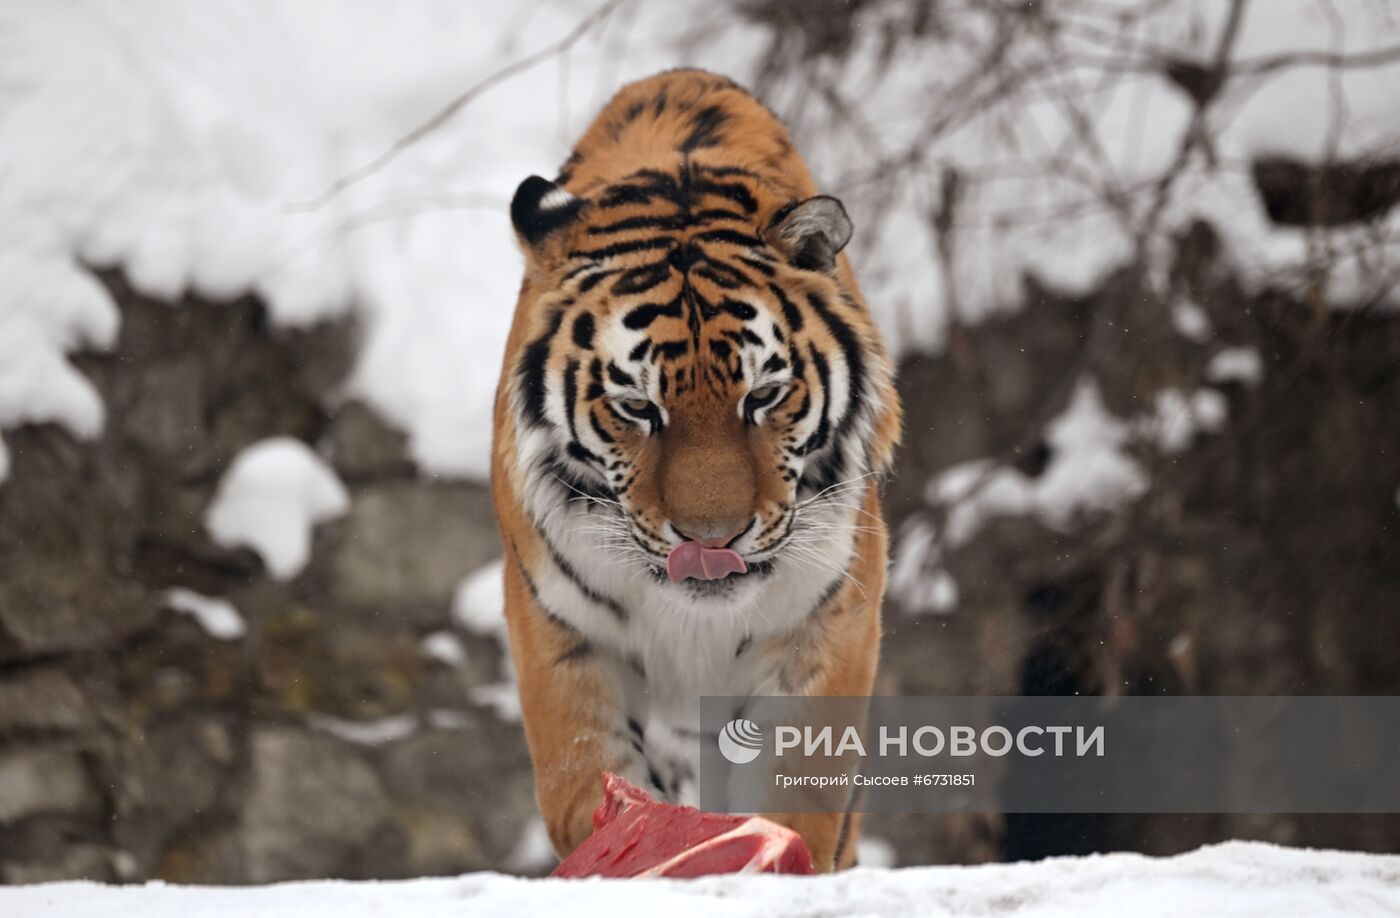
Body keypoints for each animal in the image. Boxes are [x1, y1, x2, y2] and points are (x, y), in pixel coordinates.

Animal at [492, 68, 901, 873]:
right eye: (636, 406)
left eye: (763, 395)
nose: (712, 541)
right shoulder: (558, 627)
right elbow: (582, 768)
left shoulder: (828, 618)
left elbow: (801, 786)